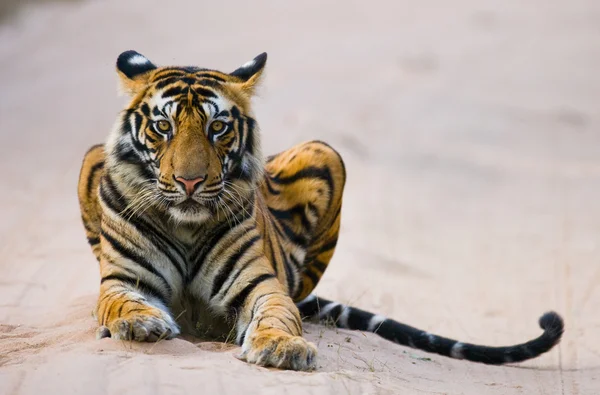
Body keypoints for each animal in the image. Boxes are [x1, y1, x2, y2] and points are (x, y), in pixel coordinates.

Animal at [77, 50, 564, 372]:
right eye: (163, 126)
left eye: (218, 128)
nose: (190, 182)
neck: (185, 226)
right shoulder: (124, 279)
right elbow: (120, 303)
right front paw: (140, 324)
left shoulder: (260, 284)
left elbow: (277, 313)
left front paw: (283, 347)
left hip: (326, 155)